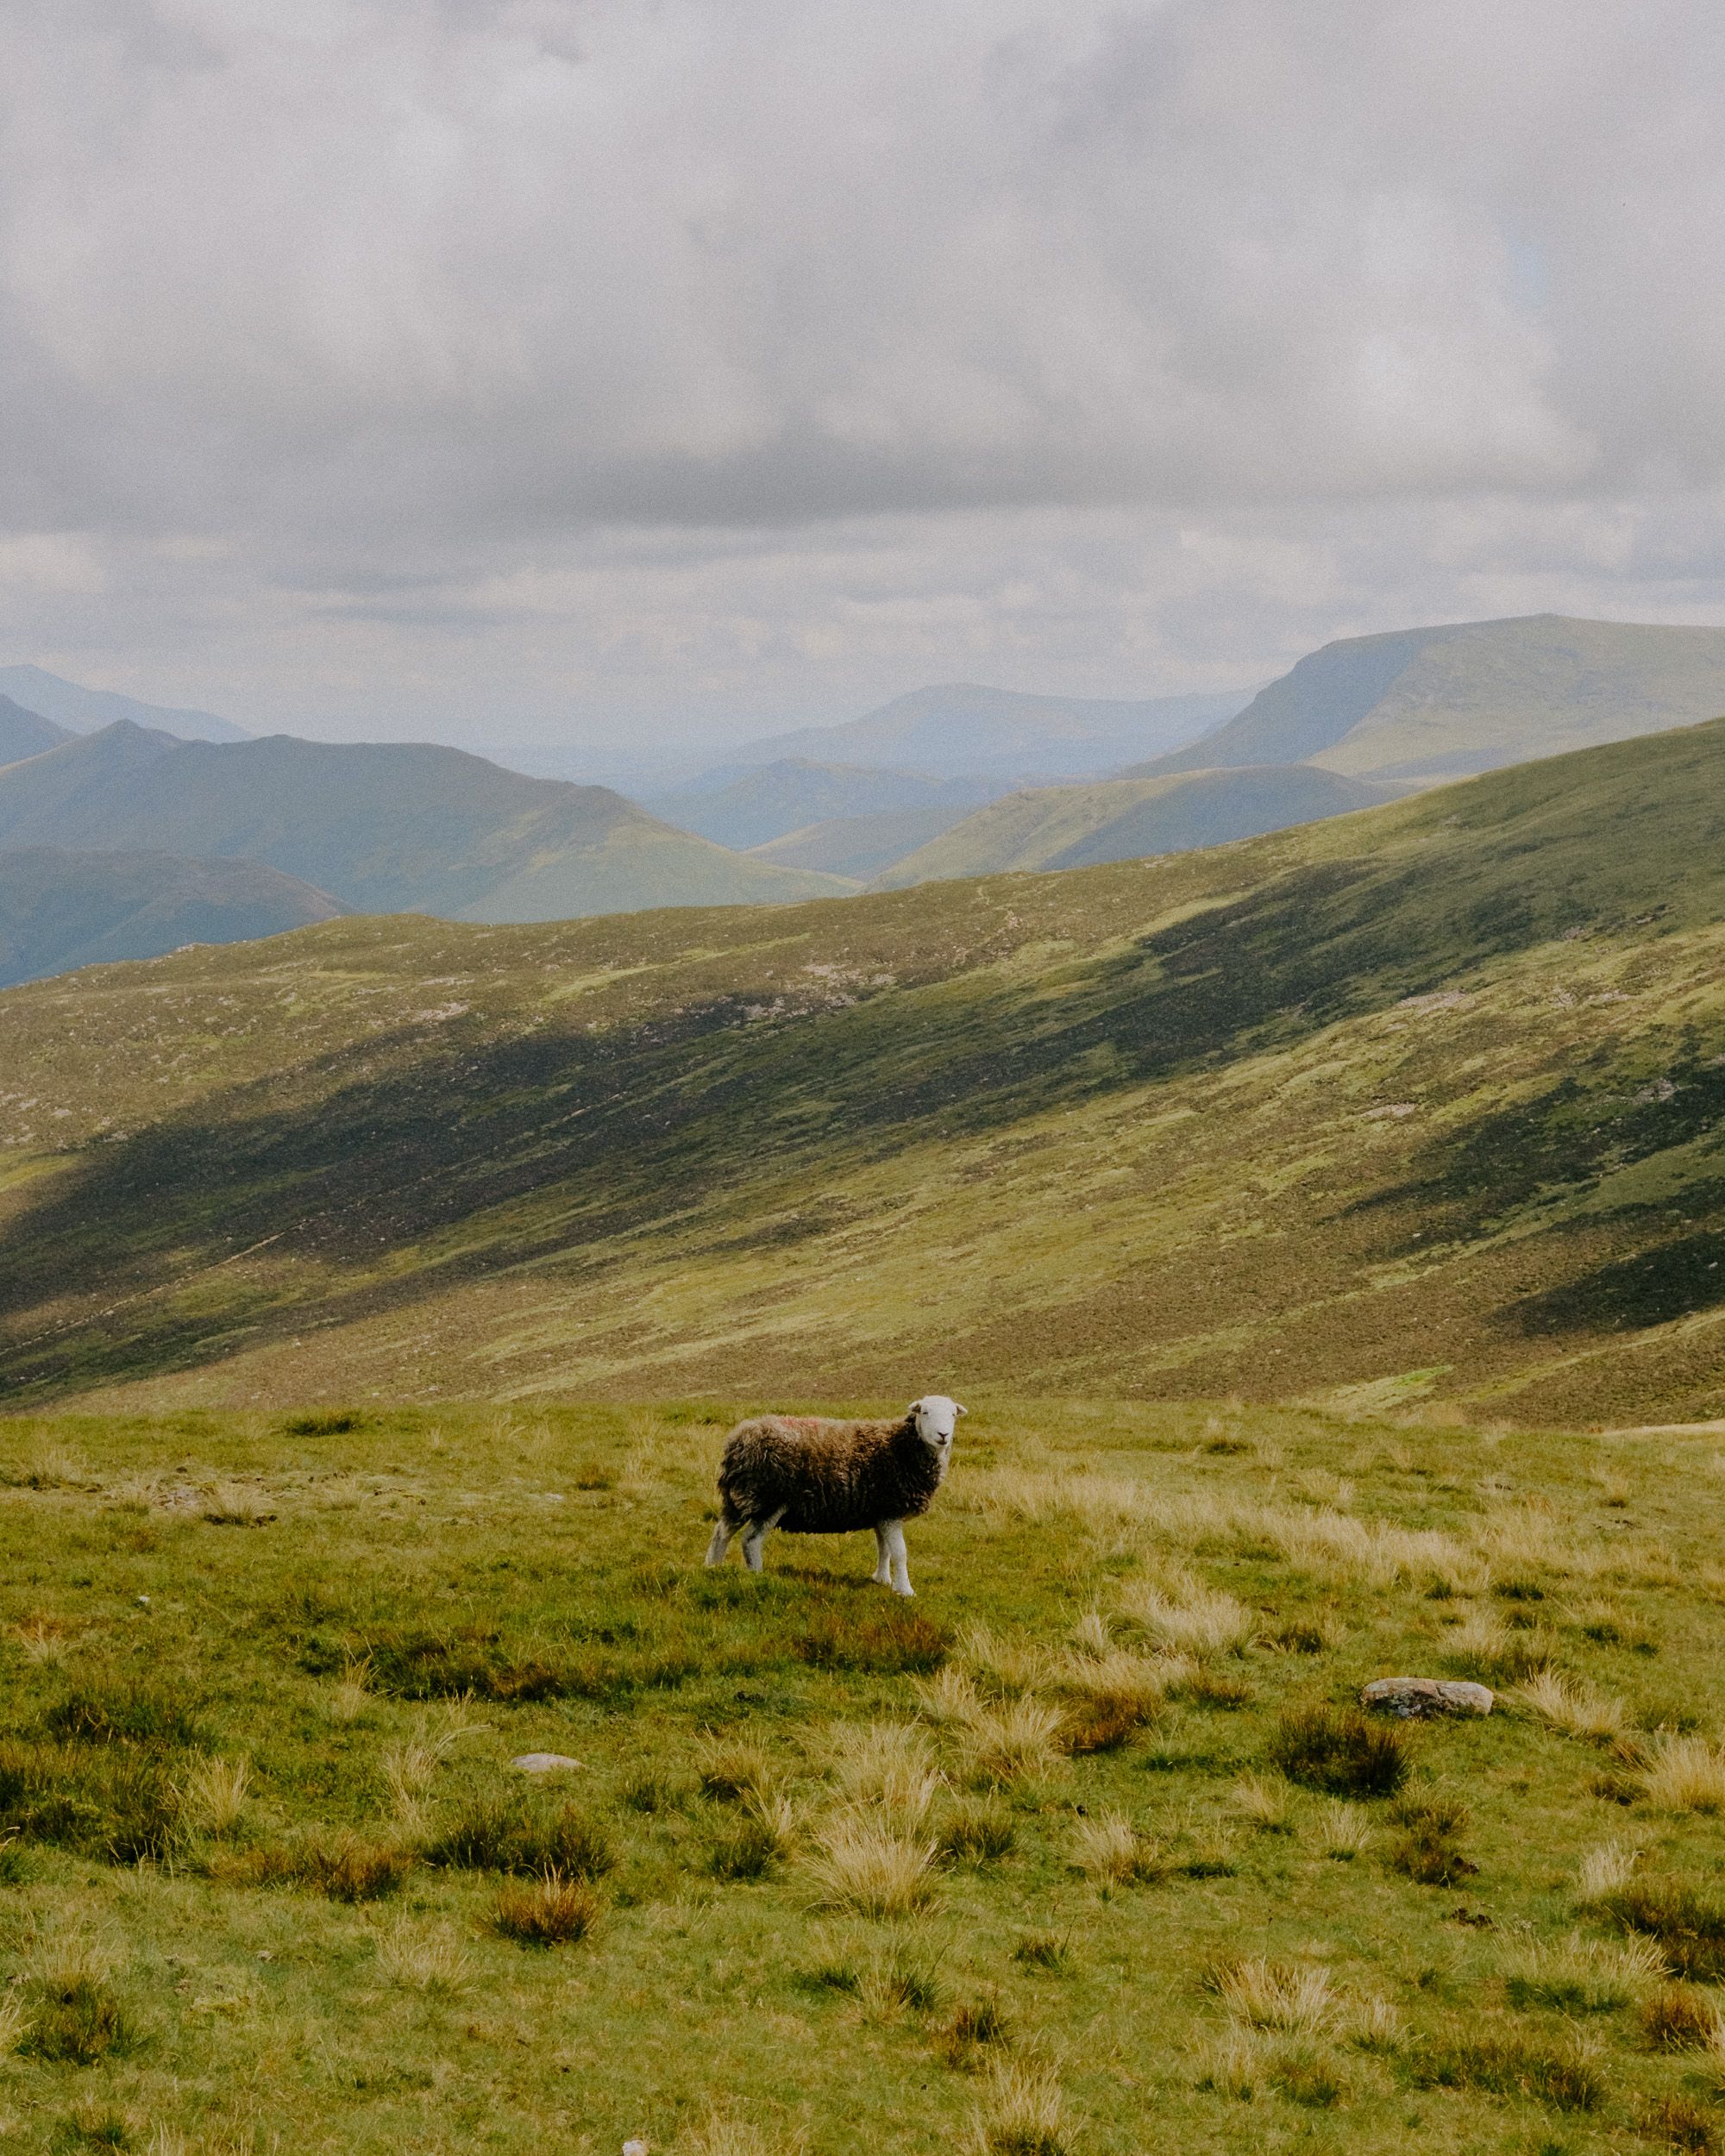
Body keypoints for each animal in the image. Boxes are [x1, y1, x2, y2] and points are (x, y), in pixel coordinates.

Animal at [704, 1395, 966, 1597]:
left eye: (953, 1414)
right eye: (925, 1412)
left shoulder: (881, 1512)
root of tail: (738, 1441)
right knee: (750, 1540)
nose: (943, 1434)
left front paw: (882, 1579)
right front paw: (905, 1590)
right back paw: (757, 1575)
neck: (902, 1446)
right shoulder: (891, 1509)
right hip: (766, 1499)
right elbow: (900, 1553)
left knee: (722, 1532)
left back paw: (712, 1568)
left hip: (738, 1498)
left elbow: (884, 1550)